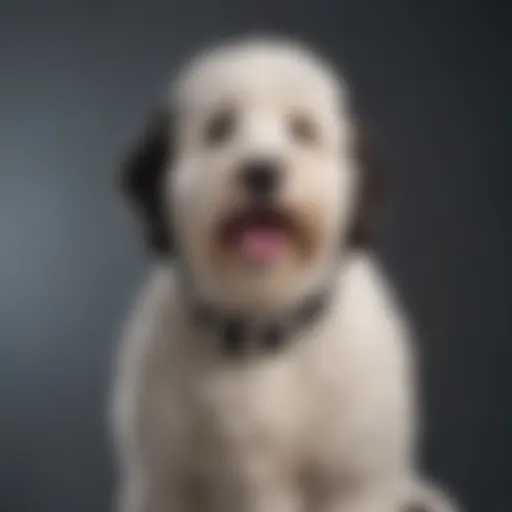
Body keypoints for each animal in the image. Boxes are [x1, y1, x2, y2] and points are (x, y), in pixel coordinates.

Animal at [110, 37, 458, 512]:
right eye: (220, 128)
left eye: (303, 130)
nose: (262, 170)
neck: (261, 331)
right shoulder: (168, 478)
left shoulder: (353, 480)